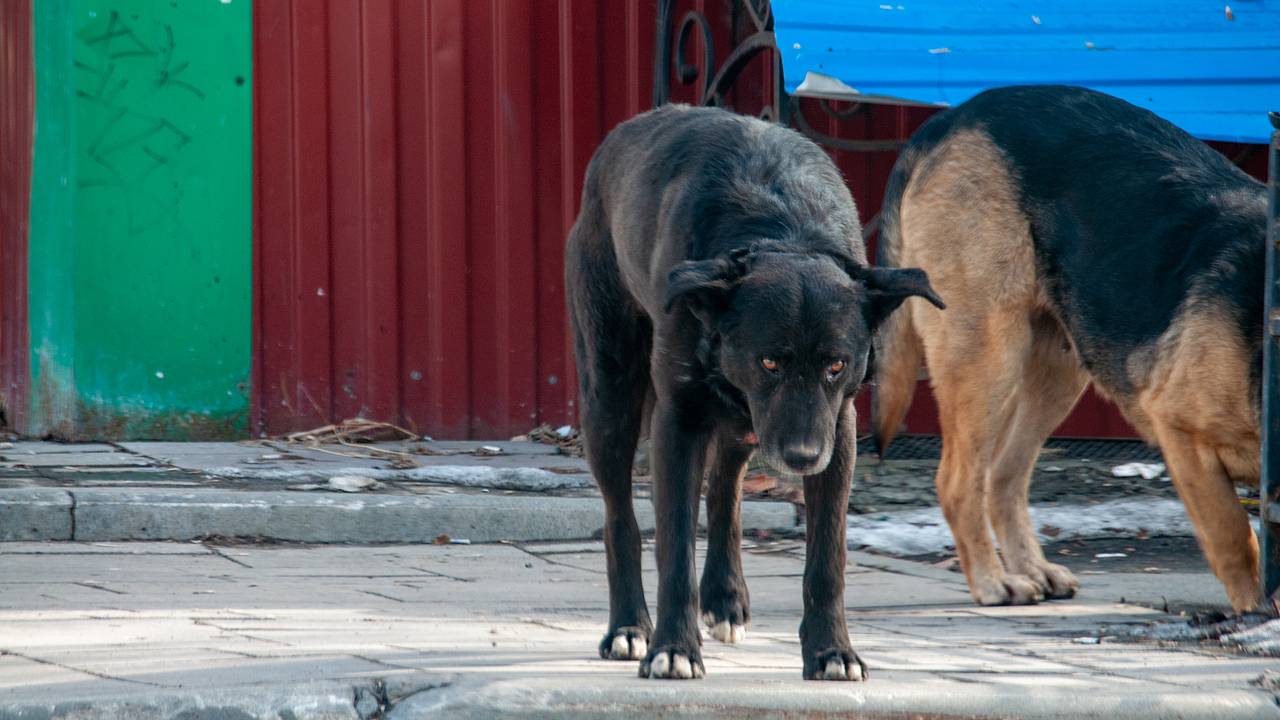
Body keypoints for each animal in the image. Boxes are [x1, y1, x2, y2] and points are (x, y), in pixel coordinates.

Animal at [565, 105, 947, 676]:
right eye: (770, 361)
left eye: (836, 365)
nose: (801, 458)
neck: (783, 230)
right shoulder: (679, 421)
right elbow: (675, 548)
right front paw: (673, 649)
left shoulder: (838, 429)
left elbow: (827, 558)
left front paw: (832, 651)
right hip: (610, 393)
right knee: (620, 518)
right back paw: (630, 627)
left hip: (745, 424)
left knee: (725, 490)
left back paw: (724, 599)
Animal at [875, 85, 1264, 609]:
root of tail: (952, 117)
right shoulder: (1182, 431)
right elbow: (1236, 538)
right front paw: (1257, 611)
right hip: (988, 354)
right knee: (959, 482)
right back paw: (993, 581)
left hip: (1057, 369)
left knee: (1002, 476)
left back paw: (1030, 568)